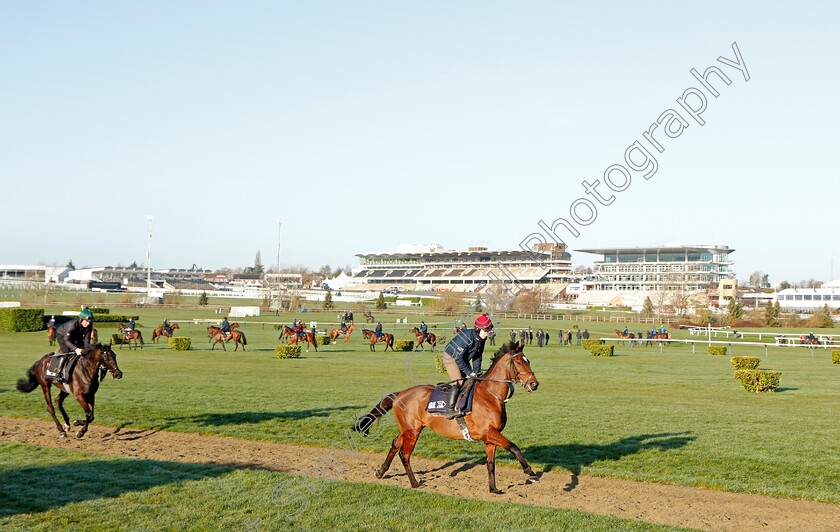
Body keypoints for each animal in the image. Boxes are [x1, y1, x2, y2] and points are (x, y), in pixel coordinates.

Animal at [352, 342, 540, 492]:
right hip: (412, 431)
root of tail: (399, 394)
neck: (490, 396)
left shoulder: (490, 438)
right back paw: (414, 483)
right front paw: (531, 473)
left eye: (528, 361)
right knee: (404, 454)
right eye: (518, 362)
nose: (534, 384)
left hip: (408, 429)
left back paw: (381, 471)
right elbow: (514, 447)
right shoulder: (489, 433)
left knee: (395, 445)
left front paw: (493, 489)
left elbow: (491, 464)